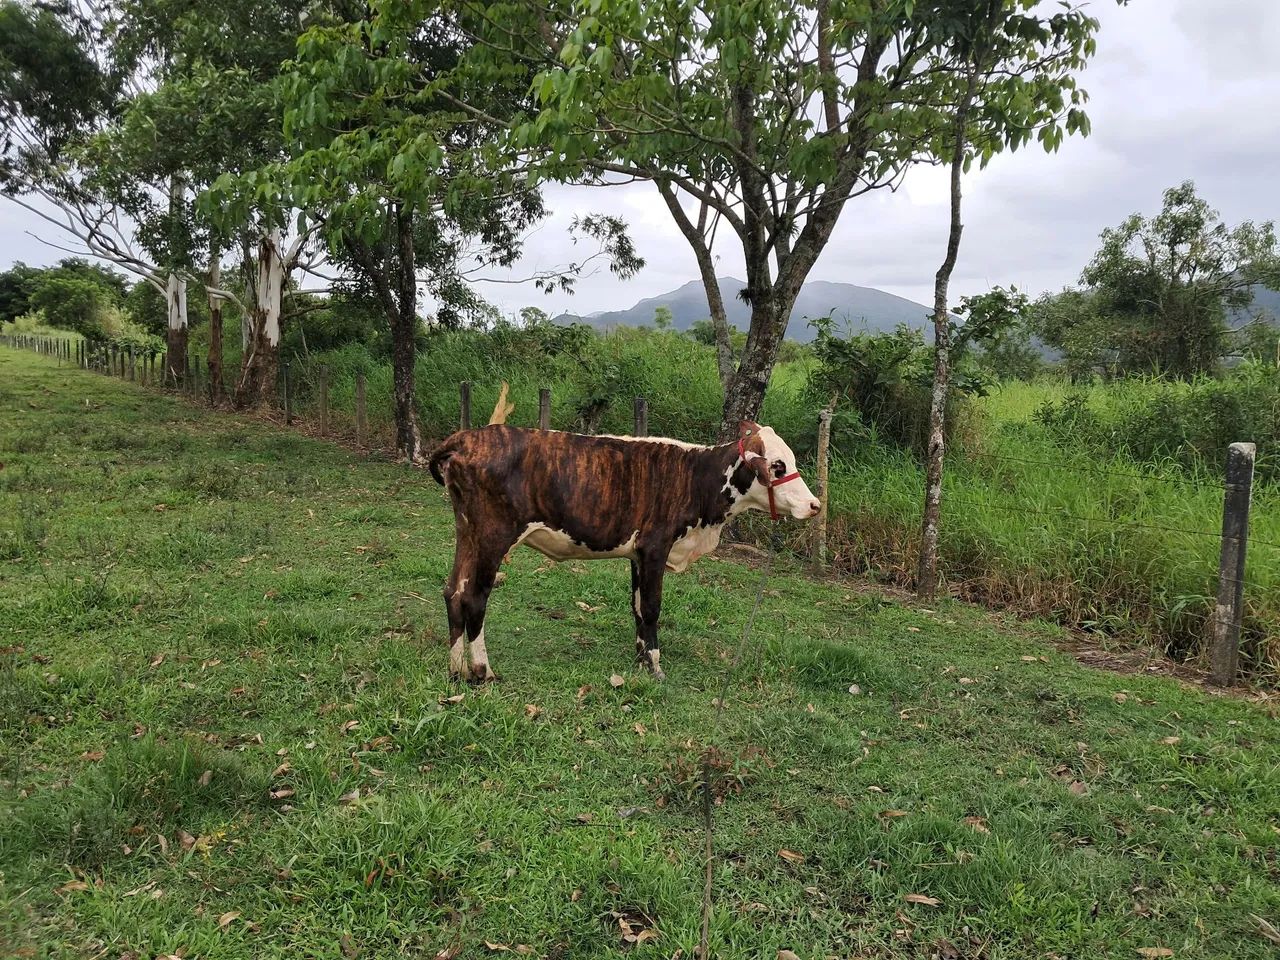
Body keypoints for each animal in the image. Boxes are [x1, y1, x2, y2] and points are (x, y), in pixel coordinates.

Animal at [427, 421, 820, 683]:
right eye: (777, 466)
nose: (815, 505)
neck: (697, 478)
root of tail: (467, 438)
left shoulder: (637, 554)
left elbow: (637, 607)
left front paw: (641, 659)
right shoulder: (655, 547)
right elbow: (652, 607)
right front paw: (656, 666)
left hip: (467, 531)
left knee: (453, 591)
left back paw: (456, 669)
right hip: (493, 536)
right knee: (474, 597)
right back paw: (482, 671)